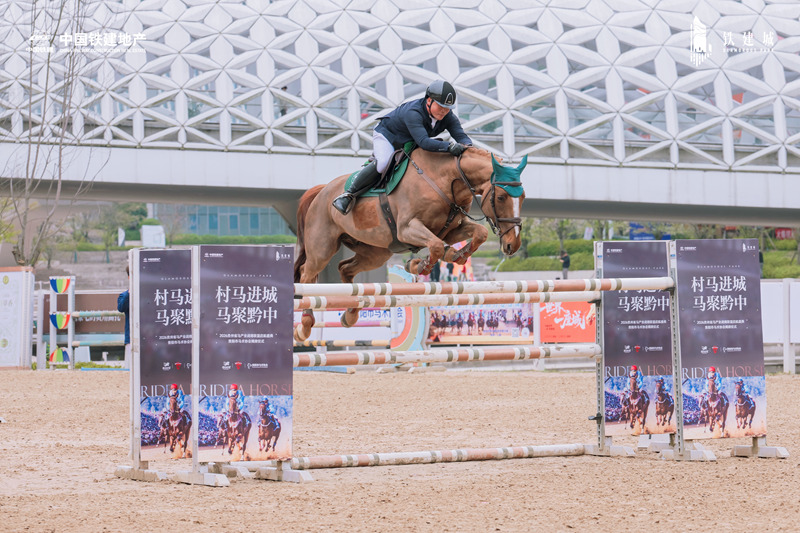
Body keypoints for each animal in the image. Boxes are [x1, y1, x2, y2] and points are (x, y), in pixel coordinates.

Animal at [293, 147, 527, 341]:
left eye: (523, 197)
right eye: (501, 197)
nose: (512, 245)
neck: (445, 180)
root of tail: (321, 191)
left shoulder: (451, 229)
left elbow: (479, 233)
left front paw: (455, 255)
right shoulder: (407, 228)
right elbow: (435, 246)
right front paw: (419, 265)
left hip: (375, 253)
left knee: (345, 269)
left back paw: (350, 314)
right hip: (322, 248)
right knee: (306, 274)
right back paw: (304, 326)